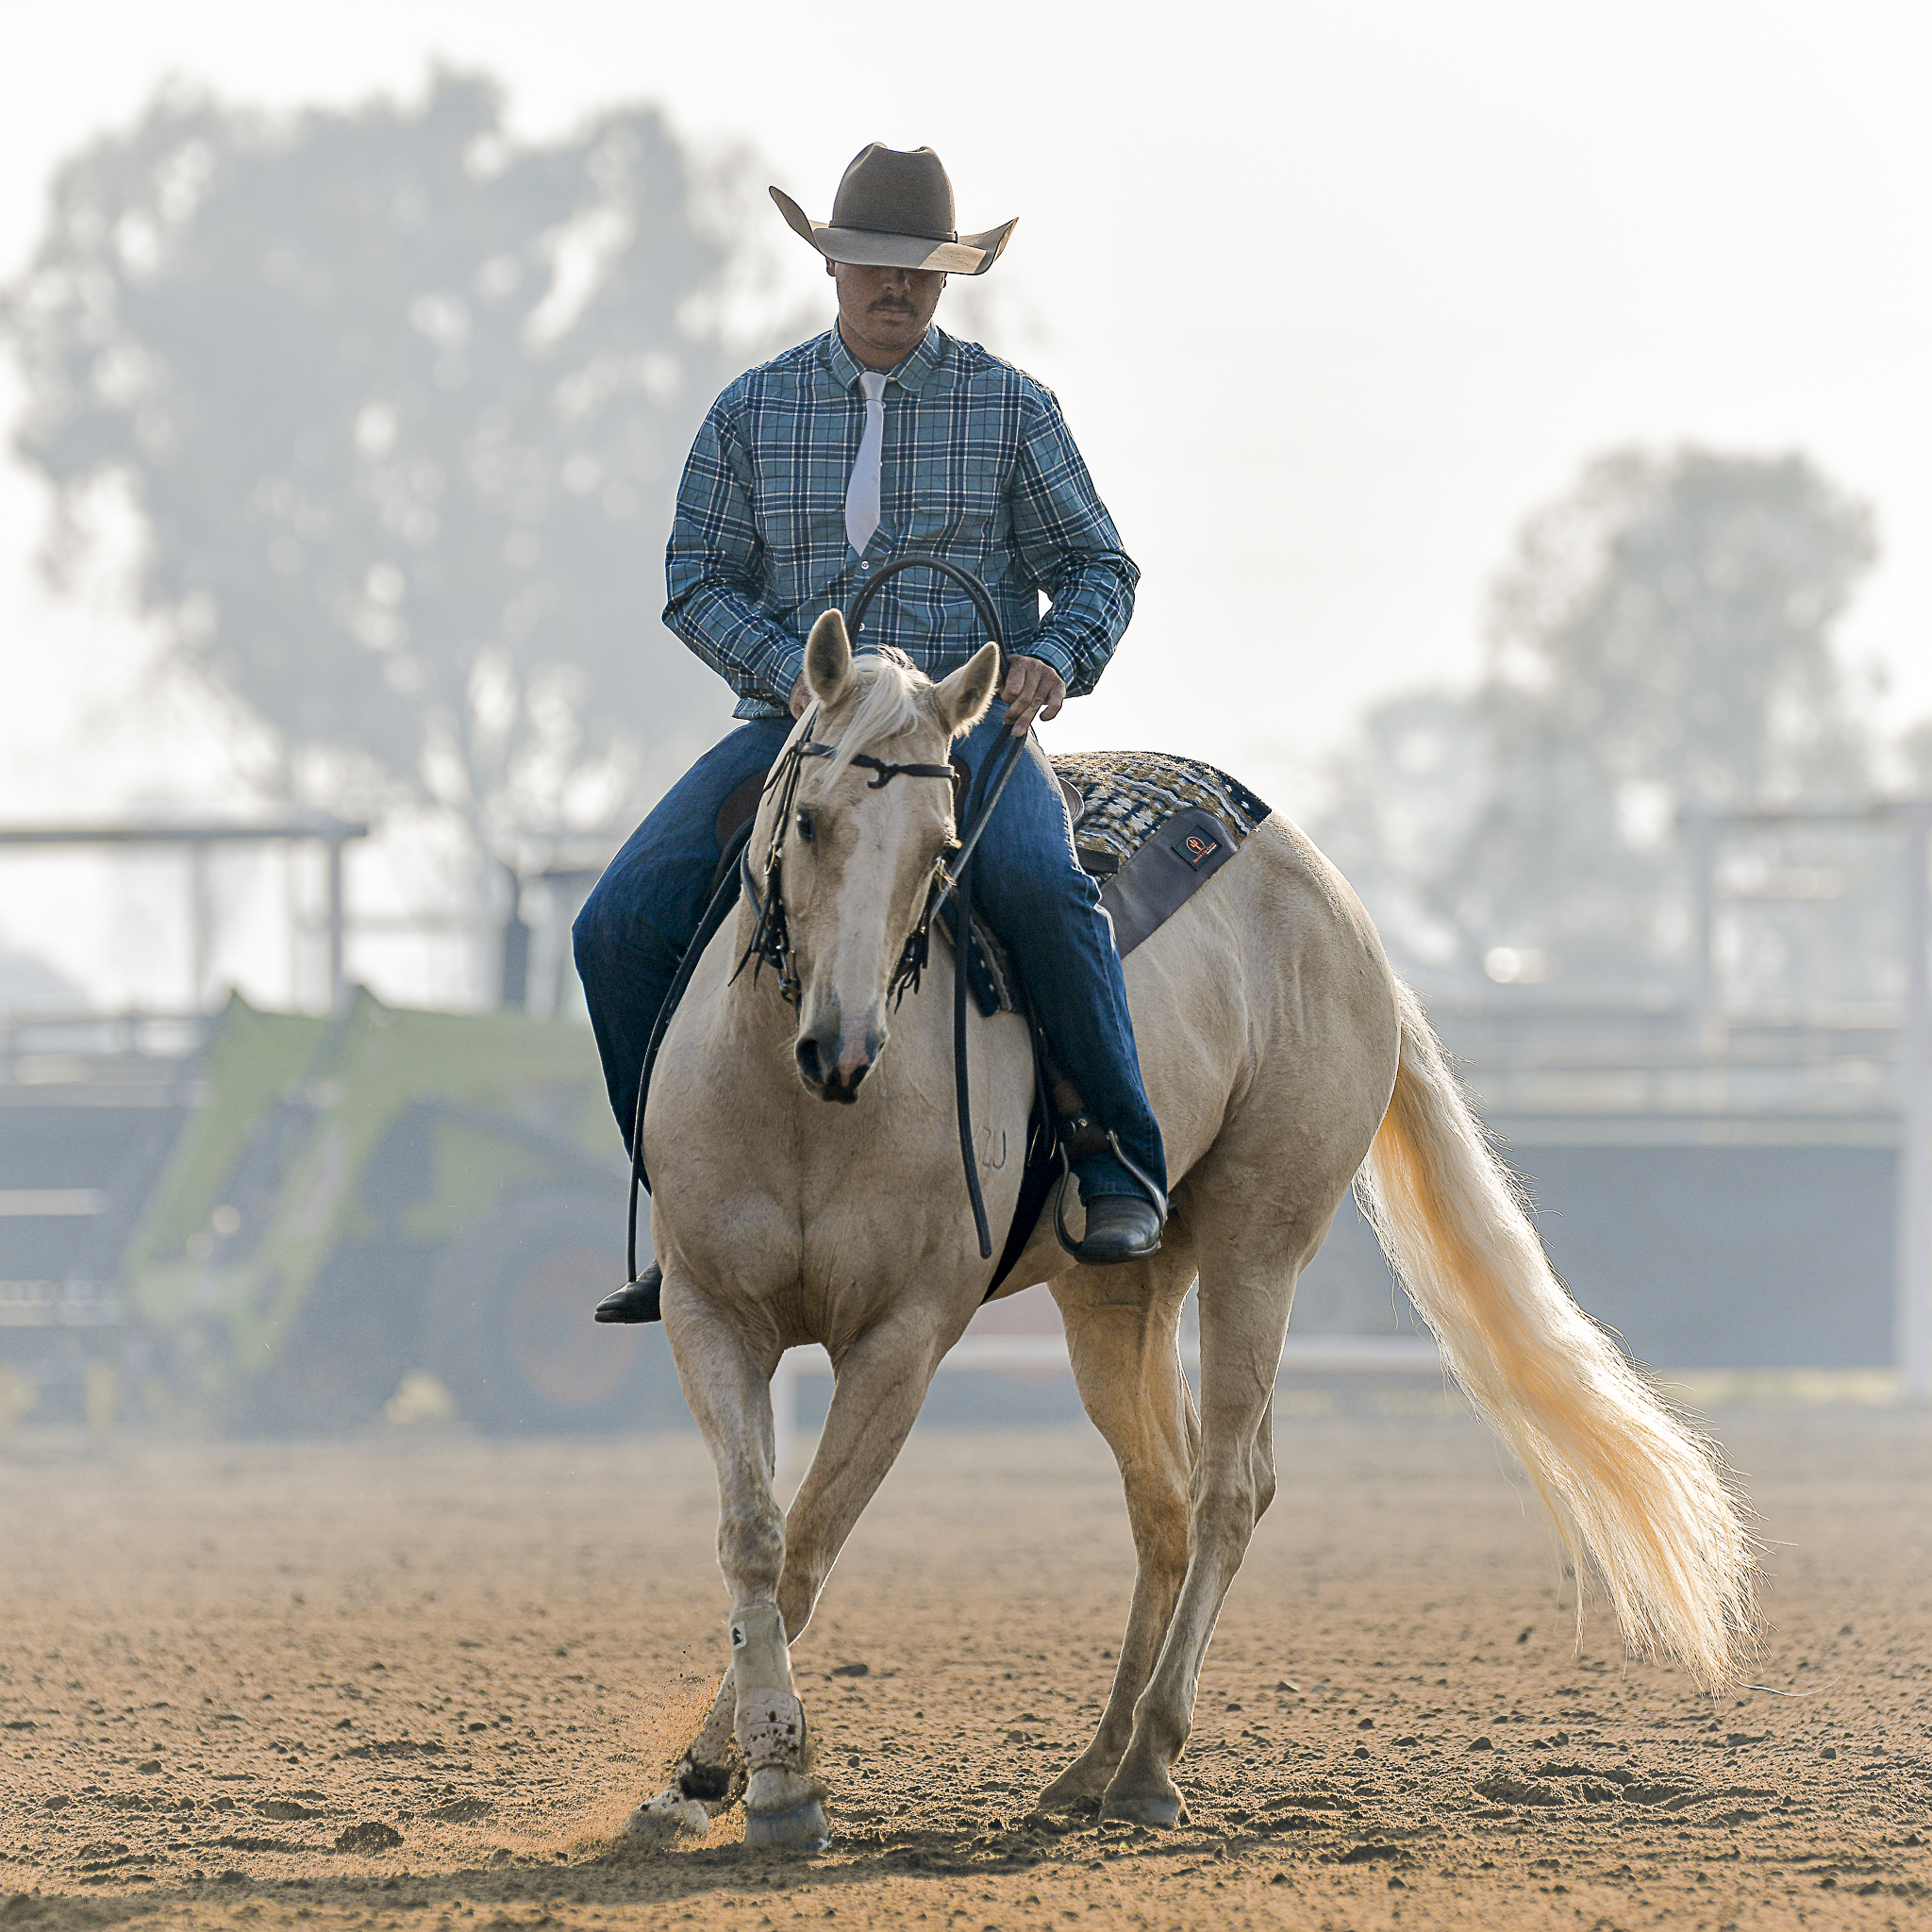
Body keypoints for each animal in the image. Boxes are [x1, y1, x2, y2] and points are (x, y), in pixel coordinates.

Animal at [629, 609, 1756, 1849]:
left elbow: (810, 1544)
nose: (842, 1044)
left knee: (1226, 1488)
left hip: (1255, 1250)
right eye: (812, 819)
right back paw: (1091, 1760)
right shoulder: (706, 1312)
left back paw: (1146, 1762)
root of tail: (1347, 917)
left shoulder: (903, 1341)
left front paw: (778, 1785)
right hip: (1117, 1286)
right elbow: (754, 1534)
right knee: (1159, 1496)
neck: (806, 1114)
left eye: (940, 846)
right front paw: (701, 1777)